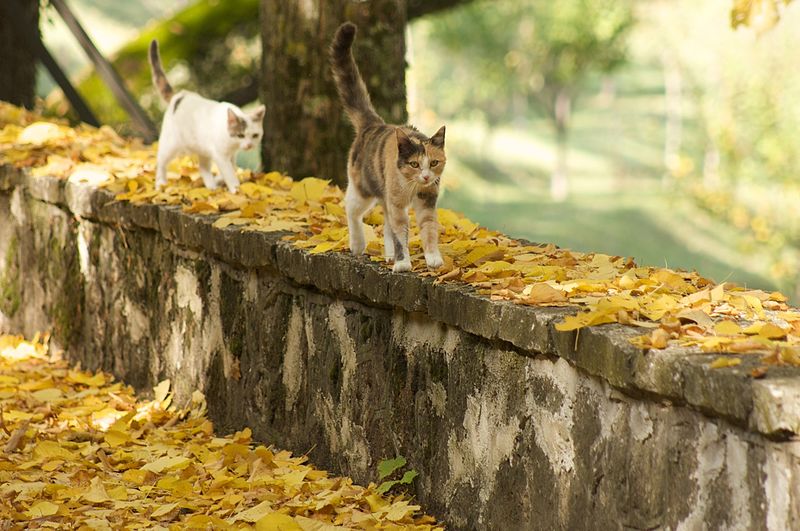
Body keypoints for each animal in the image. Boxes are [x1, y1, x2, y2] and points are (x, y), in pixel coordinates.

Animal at [147, 39, 266, 193]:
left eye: (255, 135)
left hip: (201, 148)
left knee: (203, 167)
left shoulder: (229, 155)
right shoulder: (220, 155)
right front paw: (235, 189)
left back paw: (211, 186)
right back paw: (160, 183)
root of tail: (179, 96)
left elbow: (232, 168)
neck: (231, 141)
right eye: (240, 135)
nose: (249, 145)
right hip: (171, 144)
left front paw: (220, 180)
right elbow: (229, 172)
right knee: (161, 161)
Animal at [328, 22, 446, 272]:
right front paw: (403, 263)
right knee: (351, 208)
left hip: (383, 195)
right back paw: (358, 244)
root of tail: (374, 124)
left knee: (386, 223)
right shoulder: (397, 204)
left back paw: (389, 254)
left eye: (434, 162)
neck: (413, 187)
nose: (425, 176)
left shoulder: (427, 201)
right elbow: (401, 232)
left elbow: (428, 228)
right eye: (414, 164)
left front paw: (432, 257)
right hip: (363, 187)